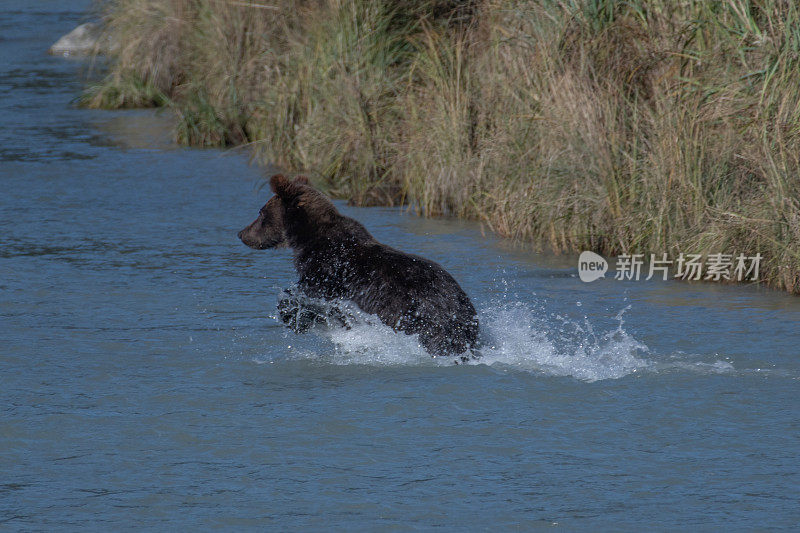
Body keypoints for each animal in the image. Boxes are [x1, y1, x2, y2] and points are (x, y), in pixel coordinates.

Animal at [236, 176, 476, 358]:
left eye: (261, 212)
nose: (241, 233)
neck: (308, 239)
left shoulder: (328, 272)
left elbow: (307, 297)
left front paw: (293, 315)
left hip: (422, 316)